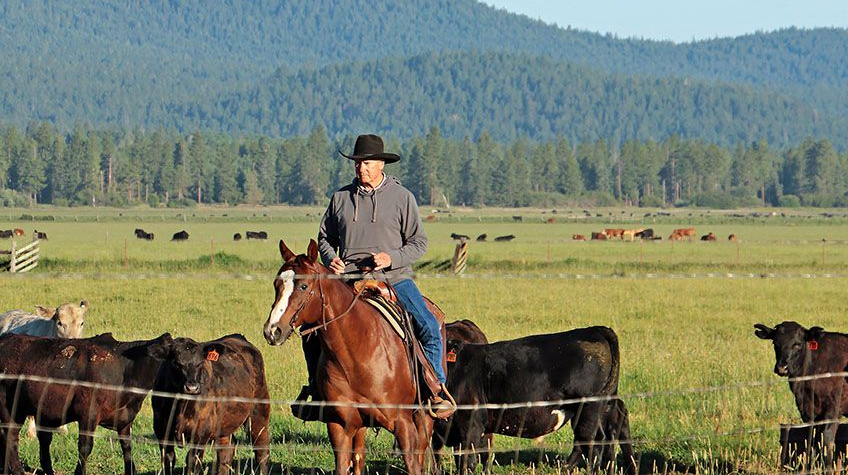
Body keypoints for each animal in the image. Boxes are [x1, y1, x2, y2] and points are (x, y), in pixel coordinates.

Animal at [262, 239, 437, 475]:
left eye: (303, 286)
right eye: (276, 285)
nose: (272, 330)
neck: (358, 354)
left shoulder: (403, 423)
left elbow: (413, 464)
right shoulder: (340, 425)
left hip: (424, 415)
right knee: (359, 456)